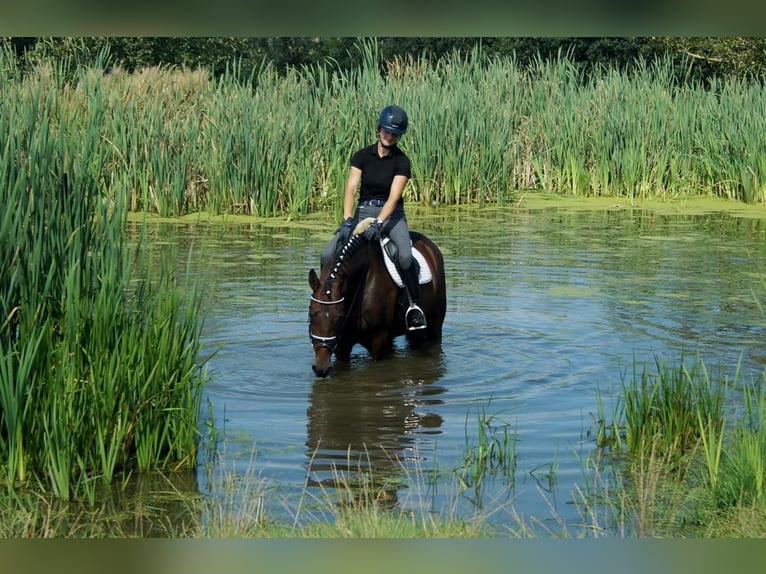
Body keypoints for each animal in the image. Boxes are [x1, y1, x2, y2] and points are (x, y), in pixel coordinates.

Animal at [308, 219, 448, 378]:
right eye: (311, 315)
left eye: (339, 317)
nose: (321, 368)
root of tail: (430, 246)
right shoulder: (343, 344)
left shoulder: (378, 341)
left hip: (435, 327)